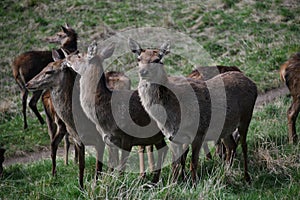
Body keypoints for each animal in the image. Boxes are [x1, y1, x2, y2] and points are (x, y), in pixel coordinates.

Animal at [65, 42, 169, 184]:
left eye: (80, 55)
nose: (67, 58)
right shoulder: (108, 139)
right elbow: (112, 166)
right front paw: (107, 183)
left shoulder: (127, 137)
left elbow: (121, 168)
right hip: (156, 135)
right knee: (164, 148)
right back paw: (155, 180)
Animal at [129, 38, 258, 184]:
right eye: (139, 58)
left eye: (157, 59)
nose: (143, 72)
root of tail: (253, 83)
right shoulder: (172, 137)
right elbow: (175, 164)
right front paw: (173, 184)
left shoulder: (199, 132)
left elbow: (193, 162)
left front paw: (194, 183)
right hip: (226, 127)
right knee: (231, 146)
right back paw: (226, 172)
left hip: (246, 116)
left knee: (243, 145)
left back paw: (247, 177)